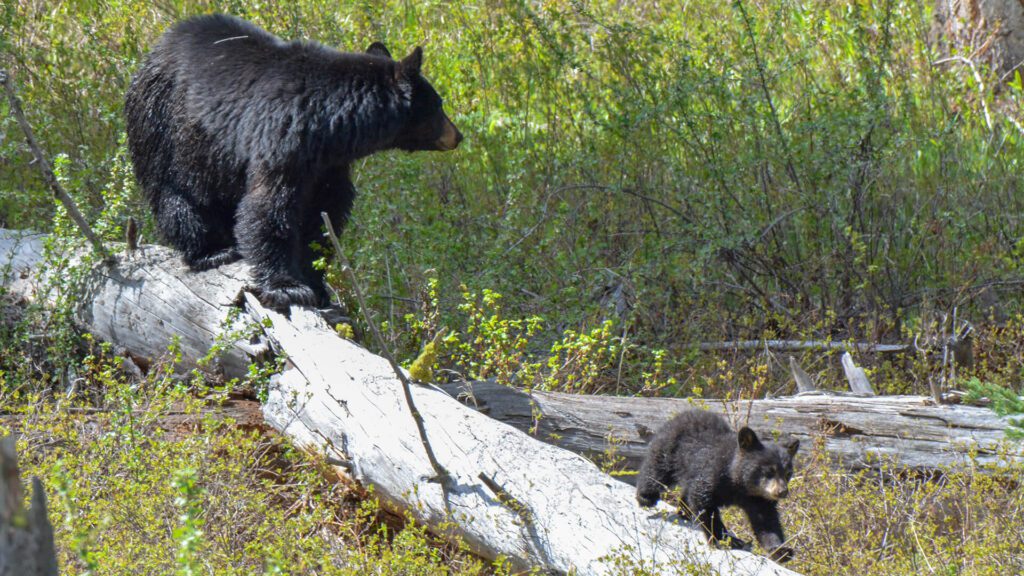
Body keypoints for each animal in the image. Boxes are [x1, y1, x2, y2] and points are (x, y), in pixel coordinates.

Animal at [125, 13, 462, 307]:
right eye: (439, 104)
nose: (458, 136)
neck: (328, 124)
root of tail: (155, 48)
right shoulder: (281, 139)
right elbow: (268, 209)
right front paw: (287, 287)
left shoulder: (328, 166)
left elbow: (325, 214)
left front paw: (316, 283)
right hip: (161, 127)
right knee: (175, 195)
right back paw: (212, 250)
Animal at [638, 407, 798, 561]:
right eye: (769, 472)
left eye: (788, 473)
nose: (782, 492)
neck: (739, 483)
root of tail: (682, 414)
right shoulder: (712, 475)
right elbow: (704, 503)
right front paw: (727, 540)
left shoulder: (759, 498)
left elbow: (767, 521)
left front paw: (781, 550)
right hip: (670, 449)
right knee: (656, 469)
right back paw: (646, 497)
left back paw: (685, 512)